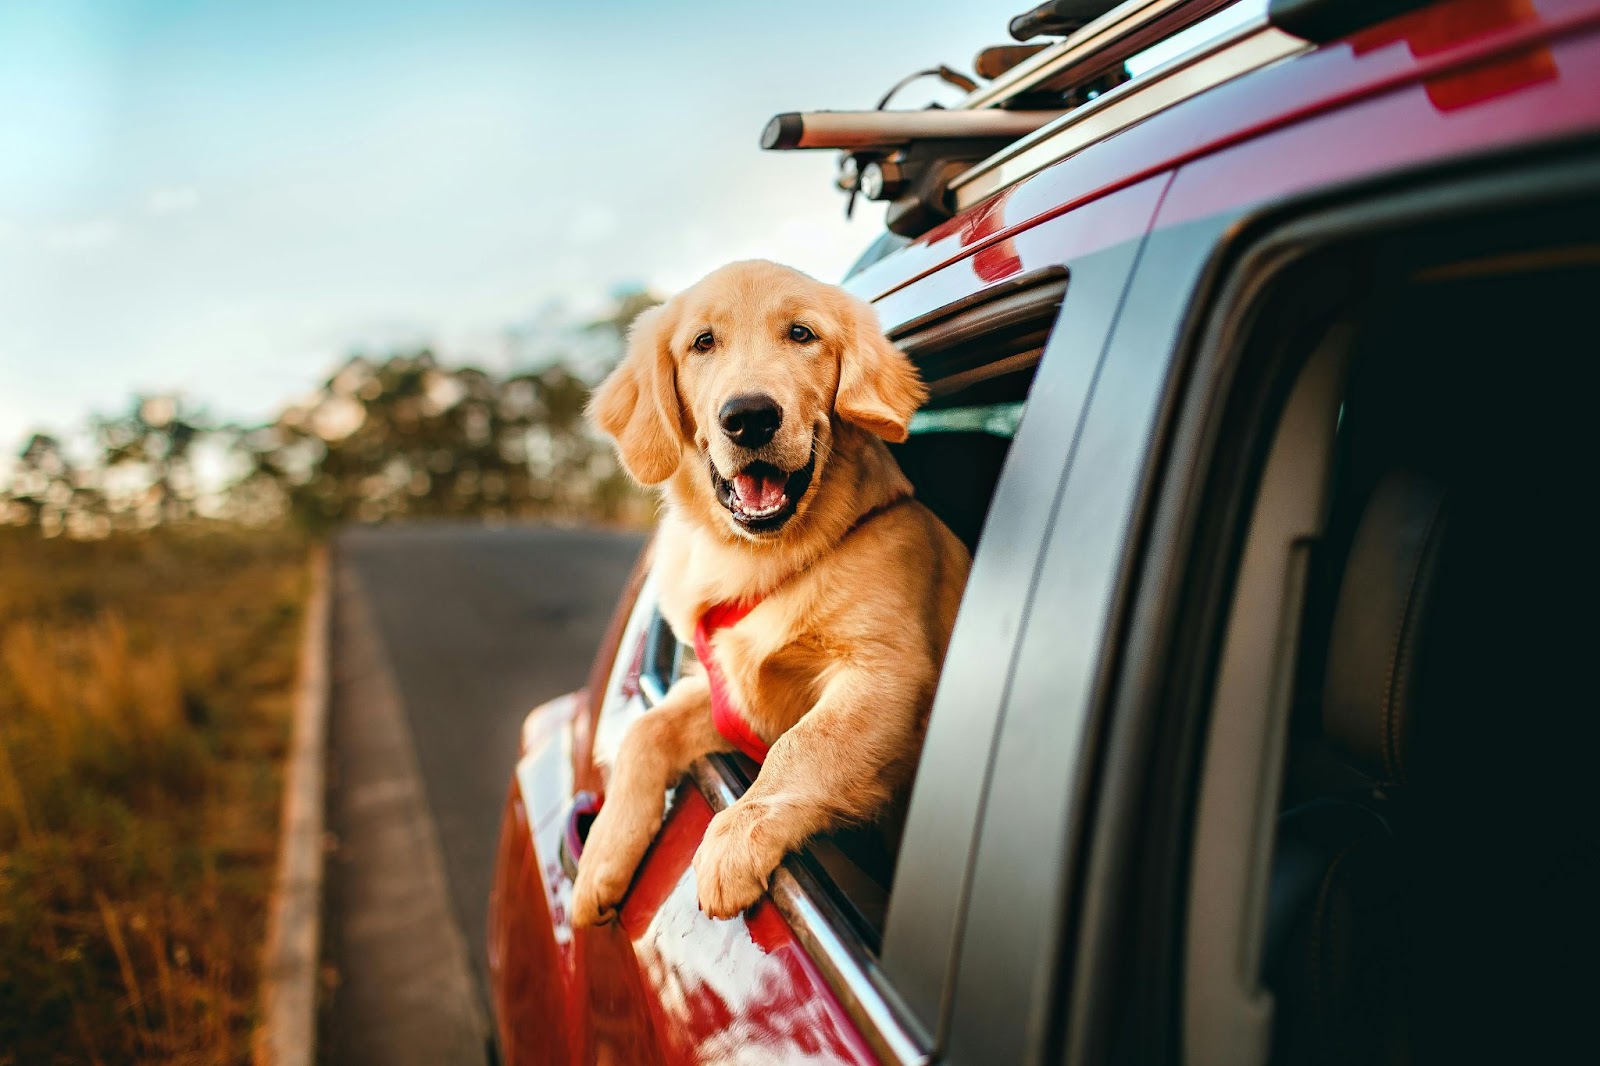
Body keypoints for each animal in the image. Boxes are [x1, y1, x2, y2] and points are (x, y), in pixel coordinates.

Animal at [576, 259, 972, 921]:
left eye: (802, 334)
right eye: (702, 343)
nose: (749, 416)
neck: (770, 560)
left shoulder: (889, 672)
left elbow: (804, 744)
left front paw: (735, 837)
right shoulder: (729, 692)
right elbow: (645, 731)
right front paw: (600, 859)